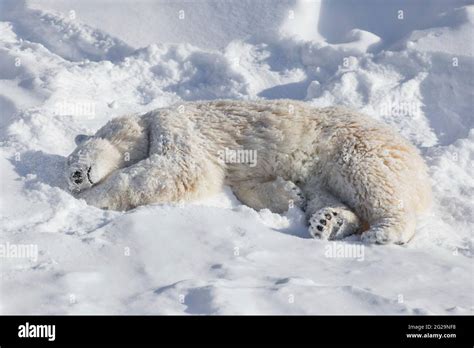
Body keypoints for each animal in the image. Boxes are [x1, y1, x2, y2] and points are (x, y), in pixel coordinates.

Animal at [66, 99, 434, 243]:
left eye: (74, 159)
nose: (75, 177)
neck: (149, 123)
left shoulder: (175, 126)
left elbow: (181, 169)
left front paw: (95, 197)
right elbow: (245, 185)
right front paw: (287, 193)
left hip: (354, 144)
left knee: (373, 181)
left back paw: (384, 231)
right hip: (326, 171)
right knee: (325, 193)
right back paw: (327, 221)